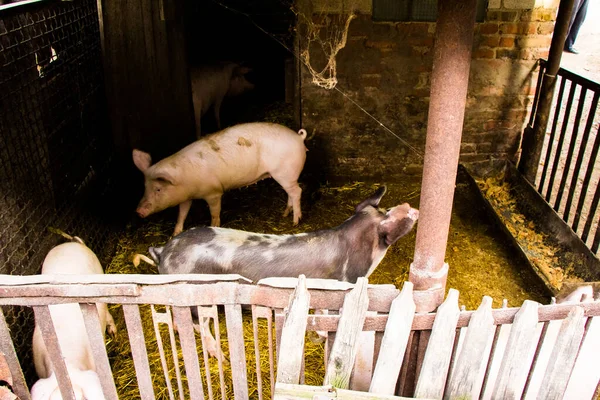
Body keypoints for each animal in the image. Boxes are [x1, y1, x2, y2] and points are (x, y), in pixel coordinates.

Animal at [133, 120, 308, 236]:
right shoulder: (185, 197)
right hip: (285, 176)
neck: (185, 180)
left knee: (297, 191)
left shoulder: (214, 192)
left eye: (158, 189)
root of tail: (299, 138)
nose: (138, 211)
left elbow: (215, 213)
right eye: (144, 187)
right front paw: (175, 235)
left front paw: (214, 227)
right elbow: (182, 214)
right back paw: (285, 213)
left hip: (285, 173)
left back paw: (295, 221)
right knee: (291, 193)